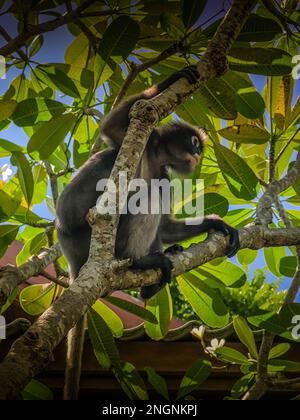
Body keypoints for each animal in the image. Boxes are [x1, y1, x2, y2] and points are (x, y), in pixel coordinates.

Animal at [55, 65, 239, 302]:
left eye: (199, 148)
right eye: (195, 143)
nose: (198, 154)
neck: (155, 156)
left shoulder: (164, 176)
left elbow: (167, 227)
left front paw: (217, 223)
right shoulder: (144, 138)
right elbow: (111, 126)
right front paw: (175, 77)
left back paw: (153, 280)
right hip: (88, 241)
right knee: (147, 196)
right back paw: (138, 261)